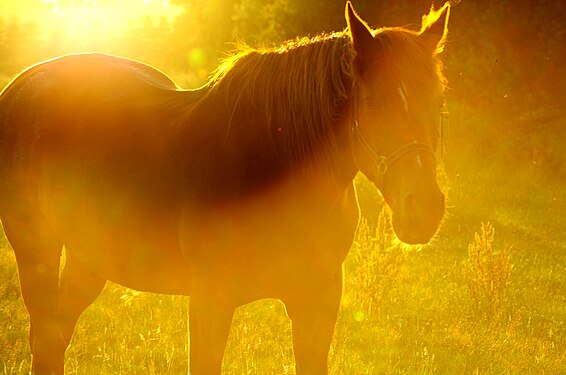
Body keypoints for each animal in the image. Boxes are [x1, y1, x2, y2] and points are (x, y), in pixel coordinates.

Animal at [0, 2, 452, 374]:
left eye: (438, 100)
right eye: (373, 102)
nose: (424, 209)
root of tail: (25, 82)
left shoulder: (319, 300)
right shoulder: (210, 301)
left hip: (88, 259)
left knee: (55, 338)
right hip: (36, 249)